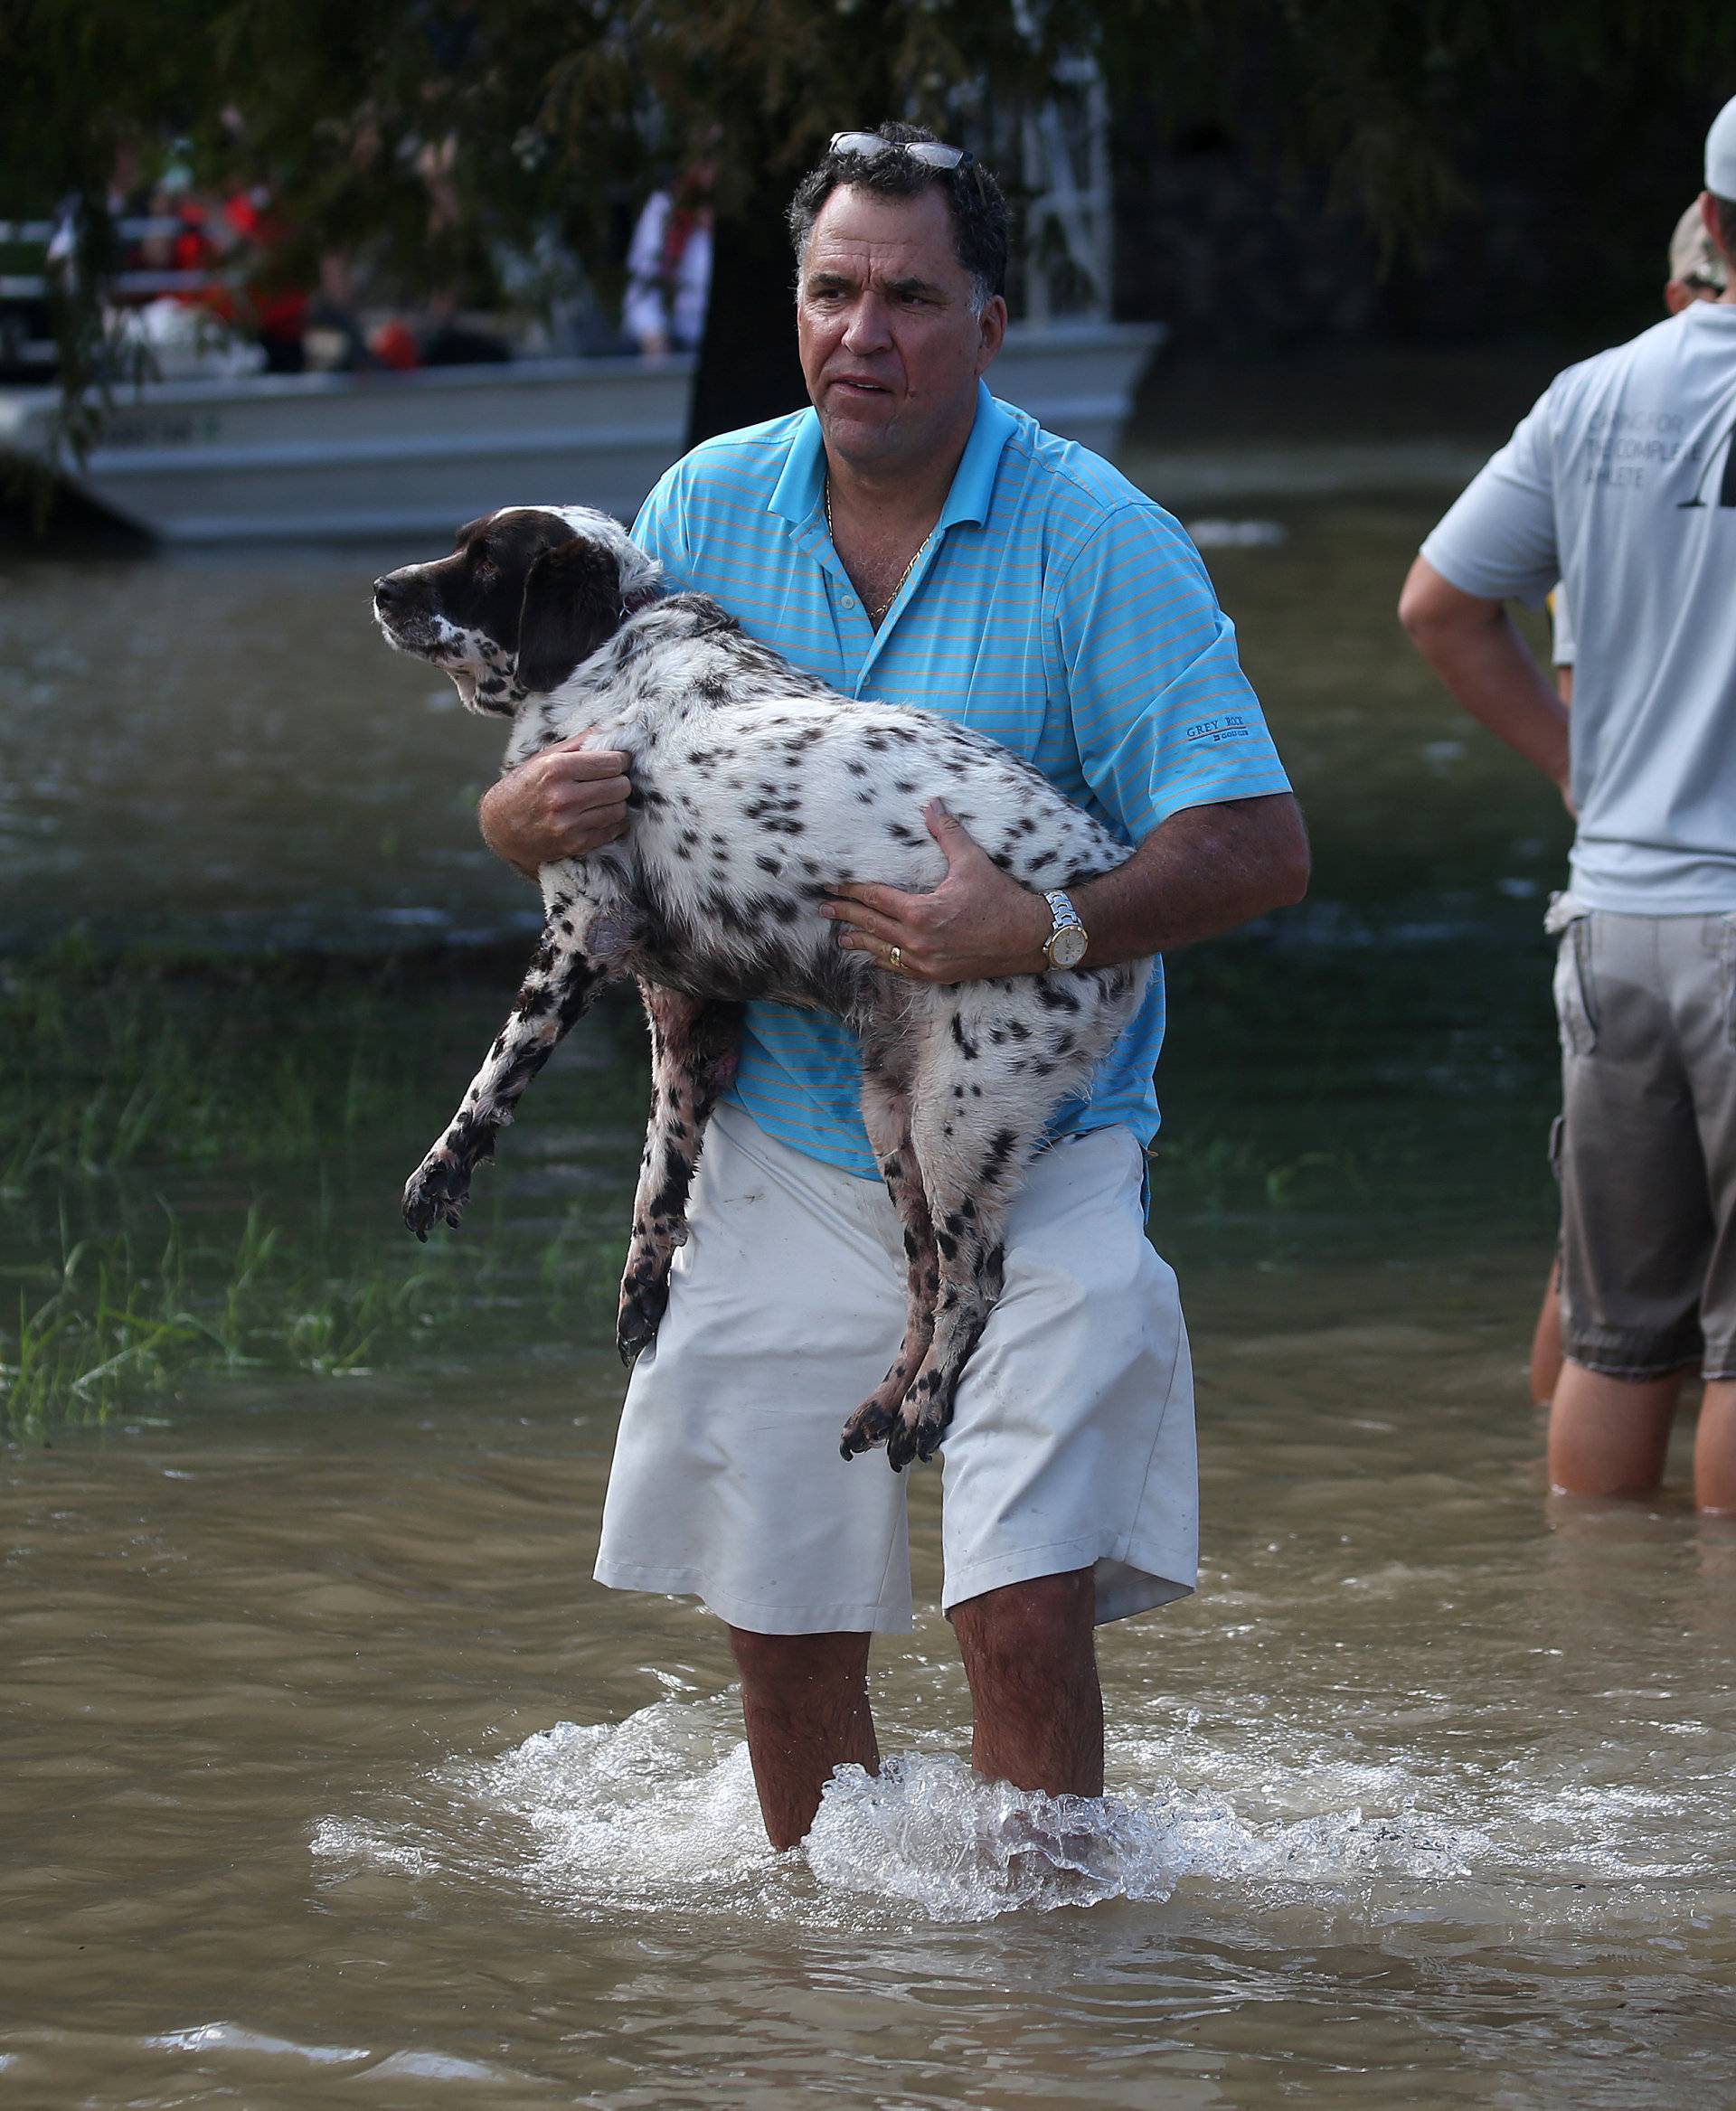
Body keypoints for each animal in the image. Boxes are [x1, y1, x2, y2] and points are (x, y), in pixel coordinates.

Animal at [373, 506, 1148, 1469]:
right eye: (458, 542)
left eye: (484, 560)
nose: (383, 588)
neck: (611, 650)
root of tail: (1109, 912)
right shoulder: (687, 1015)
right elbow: (658, 1173)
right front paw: (641, 1293)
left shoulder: (583, 926)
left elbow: (494, 1078)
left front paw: (439, 1171)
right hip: (893, 1113)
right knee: (926, 1276)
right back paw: (884, 1401)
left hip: (958, 1118)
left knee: (975, 1277)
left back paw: (924, 1407)